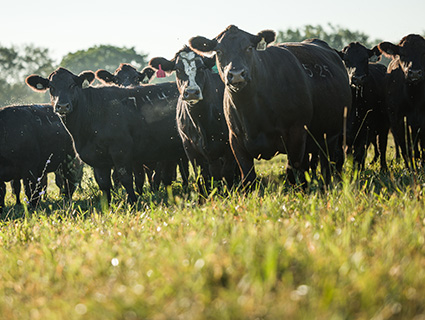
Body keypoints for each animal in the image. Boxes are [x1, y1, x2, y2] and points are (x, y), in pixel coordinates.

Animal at [26, 67, 186, 204]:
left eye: (72, 85)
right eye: (51, 87)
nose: (62, 106)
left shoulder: (121, 151)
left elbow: (126, 178)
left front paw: (132, 201)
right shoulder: (97, 158)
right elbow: (103, 183)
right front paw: (107, 205)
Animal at [149, 46, 238, 189]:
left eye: (201, 67)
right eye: (178, 69)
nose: (191, 92)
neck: (202, 119)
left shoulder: (229, 146)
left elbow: (227, 173)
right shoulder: (190, 149)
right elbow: (202, 177)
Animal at [189, 25, 352, 188]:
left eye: (249, 48)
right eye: (219, 51)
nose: (236, 74)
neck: (251, 110)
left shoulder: (297, 133)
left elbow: (293, 174)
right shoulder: (236, 141)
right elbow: (249, 178)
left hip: (330, 136)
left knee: (326, 167)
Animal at [336, 43, 390, 171]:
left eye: (365, 59)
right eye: (346, 60)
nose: (358, 78)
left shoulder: (366, 129)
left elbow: (359, 155)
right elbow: (341, 157)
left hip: (384, 126)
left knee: (382, 147)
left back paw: (383, 168)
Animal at [378, 34, 424, 168]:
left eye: (423, 52)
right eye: (402, 54)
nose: (415, 73)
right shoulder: (395, 116)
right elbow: (403, 144)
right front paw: (409, 167)